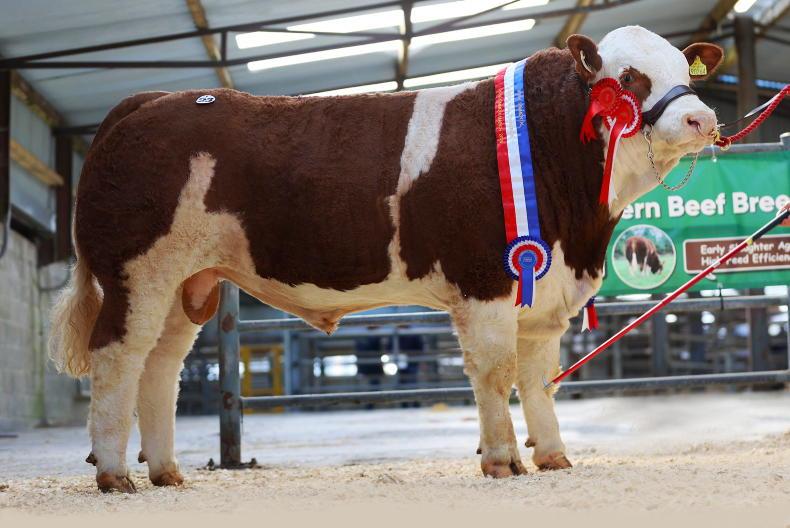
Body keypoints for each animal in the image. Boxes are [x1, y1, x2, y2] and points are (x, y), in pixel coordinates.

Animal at [50, 26, 722, 493]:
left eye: (683, 70)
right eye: (630, 78)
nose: (702, 118)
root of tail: (151, 99)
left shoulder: (543, 292)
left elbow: (537, 378)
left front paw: (553, 456)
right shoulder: (485, 280)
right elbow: (495, 373)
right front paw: (502, 461)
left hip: (186, 281)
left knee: (160, 367)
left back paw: (166, 472)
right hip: (137, 272)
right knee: (118, 357)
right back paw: (115, 475)